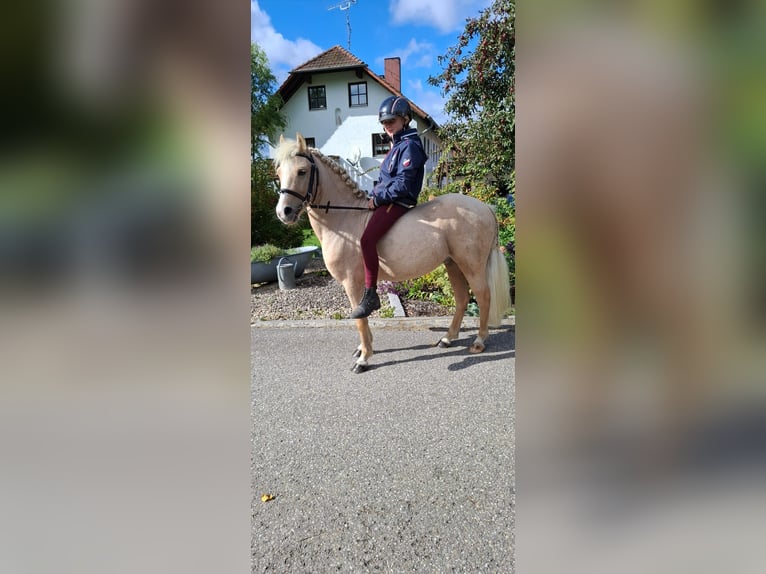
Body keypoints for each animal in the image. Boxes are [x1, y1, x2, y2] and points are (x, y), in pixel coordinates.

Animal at [272, 136, 512, 378]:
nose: (284, 213)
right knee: (462, 299)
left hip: (472, 265)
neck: (345, 218)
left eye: (302, 171)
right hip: (452, 264)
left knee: (483, 297)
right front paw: (364, 348)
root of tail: (485, 207)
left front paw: (364, 358)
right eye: (279, 173)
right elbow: (363, 322)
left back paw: (479, 341)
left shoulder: (352, 282)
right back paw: (447, 338)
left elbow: (360, 319)